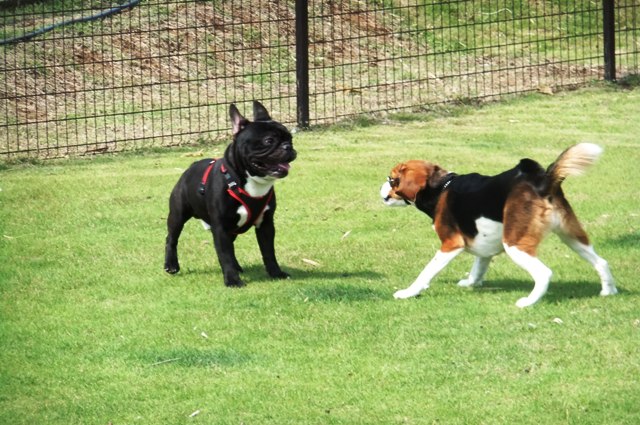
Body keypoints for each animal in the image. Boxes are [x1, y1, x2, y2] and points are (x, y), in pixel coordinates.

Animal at [164, 100, 296, 284]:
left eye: (290, 138)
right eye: (269, 140)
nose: (288, 146)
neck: (251, 183)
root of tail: (191, 167)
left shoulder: (266, 225)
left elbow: (269, 252)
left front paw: (276, 273)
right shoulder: (220, 227)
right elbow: (225, 254)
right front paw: (232, 280)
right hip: (178, 215)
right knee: (172, 238)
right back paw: (171, 265)